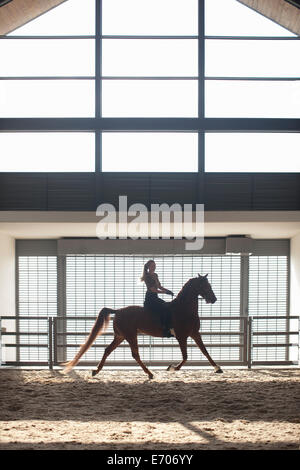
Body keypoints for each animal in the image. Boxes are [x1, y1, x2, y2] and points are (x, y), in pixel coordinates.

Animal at [62, 272, 224, 378]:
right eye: (205, 286)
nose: (214, 299)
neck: (183, 309)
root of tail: (118, 311)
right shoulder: (181, 336)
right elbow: (185, 356)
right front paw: (172, 368)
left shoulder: (195, 334)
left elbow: (205, 351)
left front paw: (218, 368)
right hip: (130, 335)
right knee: (135, 354)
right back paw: (149, 373)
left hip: (121, 336)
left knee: (108, 350)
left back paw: (96, 371)